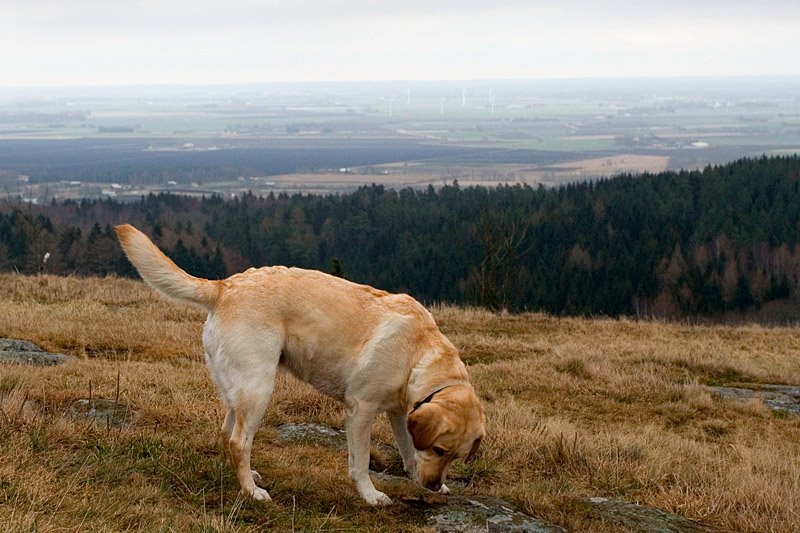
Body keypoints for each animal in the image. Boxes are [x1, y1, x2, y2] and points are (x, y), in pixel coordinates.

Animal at [115, 223, 484, 502]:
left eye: (455, 456)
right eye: (439, 450)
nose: (434, 486)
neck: (418, 353)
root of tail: (225, 286)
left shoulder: (398, 412)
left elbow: (407, 450)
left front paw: (417, 477)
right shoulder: (361, 408)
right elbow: (361, 461)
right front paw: (370, 495)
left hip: (240, 388)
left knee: (227, 433)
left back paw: (248, 475)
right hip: (260, 387)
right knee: (238, 440)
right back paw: (252, 491)